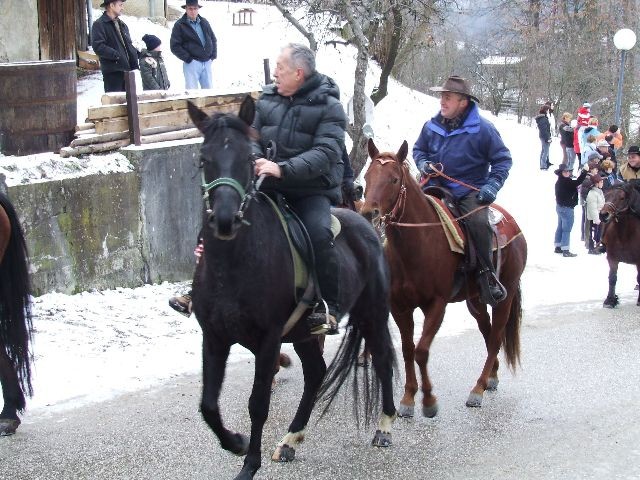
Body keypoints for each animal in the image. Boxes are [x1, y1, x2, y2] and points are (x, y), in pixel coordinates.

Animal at [185, 97, 396, 480]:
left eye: (249, 159)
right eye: (204, 159)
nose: (224, 220)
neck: (233, 264)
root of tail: (367, 224)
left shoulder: (268, 339)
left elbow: (258, 404)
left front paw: (248, 464)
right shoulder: (215, 336)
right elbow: (208, 404)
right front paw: (235, 442)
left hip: (372, 313)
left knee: (383, 359)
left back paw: (385, 427)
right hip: (304, 334)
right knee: (316, 374)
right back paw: (290, 440)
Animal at [362, 139, 528, 416]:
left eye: (394, 179)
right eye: (366, 177)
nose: (368, 213)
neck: (417, 245)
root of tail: (514, 226)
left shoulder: (437, 304)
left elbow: (421, 351)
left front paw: (429, 401)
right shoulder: (399, 306)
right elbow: (408, 349)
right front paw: (408, 398)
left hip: (505, 295)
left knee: (495, 338)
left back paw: (478, 389)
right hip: (476, 300)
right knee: (486, 331)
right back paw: (491, 377)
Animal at [600, 180, 640, 308]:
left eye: (622, 198)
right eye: (605, 196)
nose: (603, 215)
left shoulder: (639, 260)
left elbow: (639, 278)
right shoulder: (612, 257)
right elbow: (612, 278)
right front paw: (610, 300)